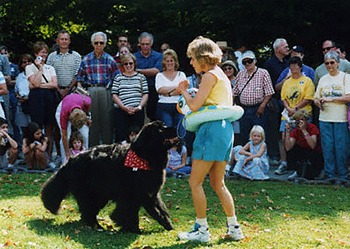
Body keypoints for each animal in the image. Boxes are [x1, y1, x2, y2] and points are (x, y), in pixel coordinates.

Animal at [41, 120, 176, 233]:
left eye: (163, 125)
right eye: (160, 129)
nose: (174, 127)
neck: (143, 156)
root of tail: (69, 162)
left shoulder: (152, 194)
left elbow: (161, 211)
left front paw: (169, 226)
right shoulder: (139, 195)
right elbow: (143, 213)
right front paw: (134, 230)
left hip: (99, 195)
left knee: (87, 212)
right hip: (92, 195)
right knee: (88, 211)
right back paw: (97, 226)